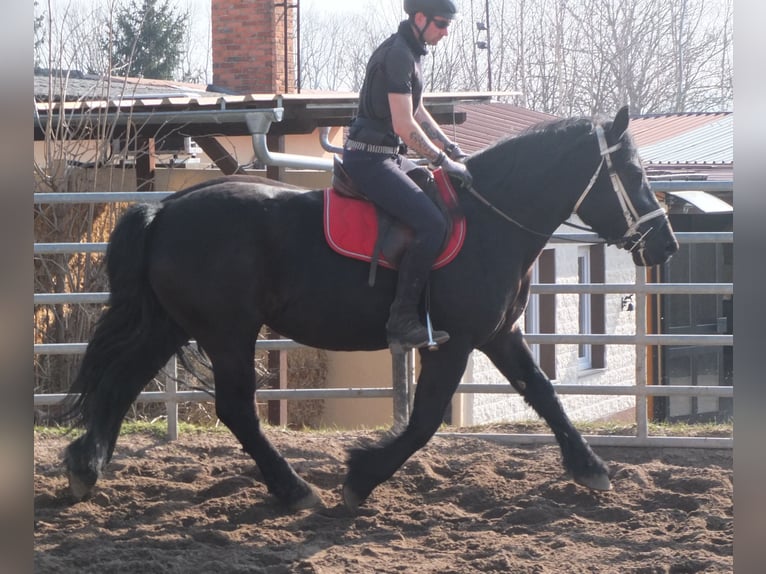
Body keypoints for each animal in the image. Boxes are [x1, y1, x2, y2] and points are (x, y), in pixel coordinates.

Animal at [64, 107, 680, 512]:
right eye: (633, 173)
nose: (666, 245)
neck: (489, 220)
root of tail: (166, 209)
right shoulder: (456, 341)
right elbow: (425, 419)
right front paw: (362, 476)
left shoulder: (499, 335)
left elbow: (545, 393)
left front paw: (591, 467)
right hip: (227, 333)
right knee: (235, 408)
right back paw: (293, 488)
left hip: (170, 325)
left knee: (119, 385)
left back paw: (86, 466)